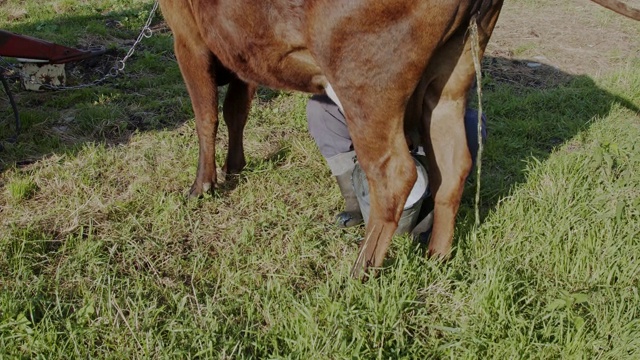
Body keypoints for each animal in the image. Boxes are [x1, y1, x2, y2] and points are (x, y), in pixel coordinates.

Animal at [159, 0, 640, 278]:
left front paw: (202, 185)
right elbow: (236, 110)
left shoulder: (189, 35)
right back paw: (436, 257)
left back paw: (360, 272)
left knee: (395, 172)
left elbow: (206, 115)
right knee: (454, 166)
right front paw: (234, 167)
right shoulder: (239, 49)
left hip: (367, 81)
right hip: (451, 77)